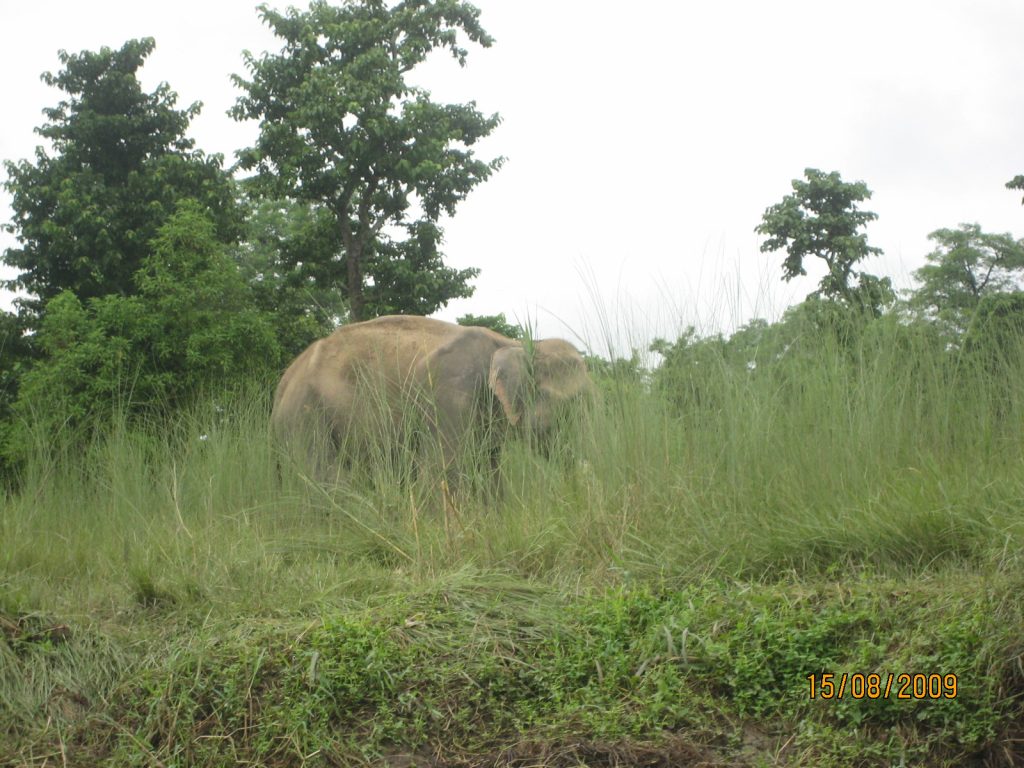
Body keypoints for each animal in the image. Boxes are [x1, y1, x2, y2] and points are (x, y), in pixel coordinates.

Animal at [272, 313, 593, 489]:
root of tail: (284, 381)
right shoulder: (450, 394)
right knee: (323, 475)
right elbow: (444, 469)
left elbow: (489, 469)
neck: (513, 343)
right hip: (305, 414)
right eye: (569, 406)